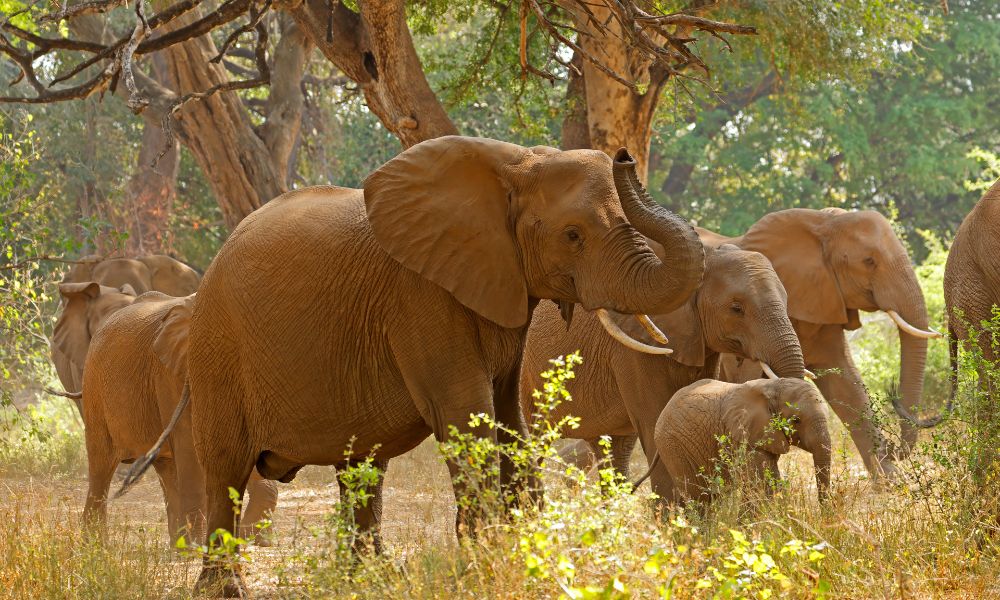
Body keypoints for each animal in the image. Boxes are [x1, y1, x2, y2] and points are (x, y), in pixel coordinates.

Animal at [77, 288, 276, 544]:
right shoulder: (170, 373)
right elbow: (190, 445)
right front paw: (202, 544)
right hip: (94, 387)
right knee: (101, 464)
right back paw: (95, 545)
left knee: (167, 470)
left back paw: (178, 546)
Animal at [125, 136, 707, 596]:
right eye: (572, 235)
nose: (625, 156)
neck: (515, 163)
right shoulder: (420, 296)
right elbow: (464, 414)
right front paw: (484, 568)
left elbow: (506, 417)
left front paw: (522, 559)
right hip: (217, 349)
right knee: (226, 467)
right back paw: (225, 590)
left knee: (362, 466)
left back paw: (370, 579)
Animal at [632, 378, 832, 505]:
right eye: (796, 420)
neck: (773, 385)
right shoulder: (741, 435)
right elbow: (762, 483)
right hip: (672, 445)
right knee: (698, 496)